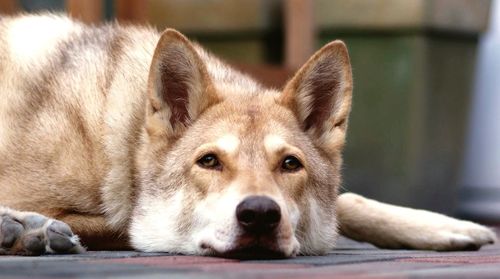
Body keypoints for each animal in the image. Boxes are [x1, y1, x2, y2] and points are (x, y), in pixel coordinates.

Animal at [0, 13, 496, 258]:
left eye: (290, 164)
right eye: (209, 161)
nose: (259, 213)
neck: (123, 147)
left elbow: (348, 202)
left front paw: (443, 226)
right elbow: (122, 227)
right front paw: (28, 227)